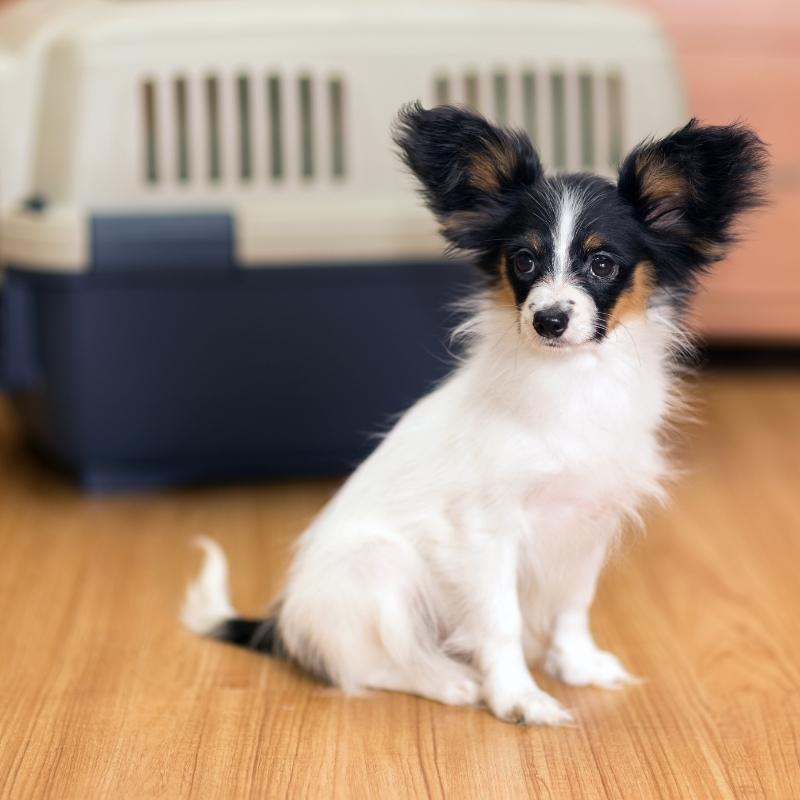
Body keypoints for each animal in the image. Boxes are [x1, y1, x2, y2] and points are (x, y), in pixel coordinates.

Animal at [183, 104, 768, 724]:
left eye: (604, 264)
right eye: (524, 260)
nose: (549, 320)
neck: (570, 383)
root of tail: (284, 622)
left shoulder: (588, 521)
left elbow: (573, 603)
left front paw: (576, 665)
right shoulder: (486, 531)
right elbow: (500, 620)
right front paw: (518, 697)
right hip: (382, 570)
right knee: (366, 667)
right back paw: (450, 681)